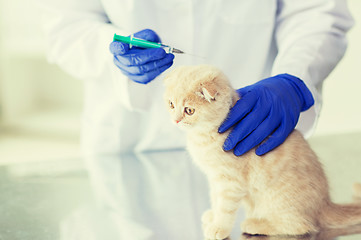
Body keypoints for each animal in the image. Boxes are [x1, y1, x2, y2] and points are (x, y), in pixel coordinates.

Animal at [163, 65, 360, 240]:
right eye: (171, 105)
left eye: (189, 110)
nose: (176, 120)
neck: (204, 135)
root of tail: (324, 204)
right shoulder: (214, 178)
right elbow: (215, 198)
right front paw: (213, 216)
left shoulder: (230, 181)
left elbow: (225, 206)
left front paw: (219, 227)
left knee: (301, 226)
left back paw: (255, 224)